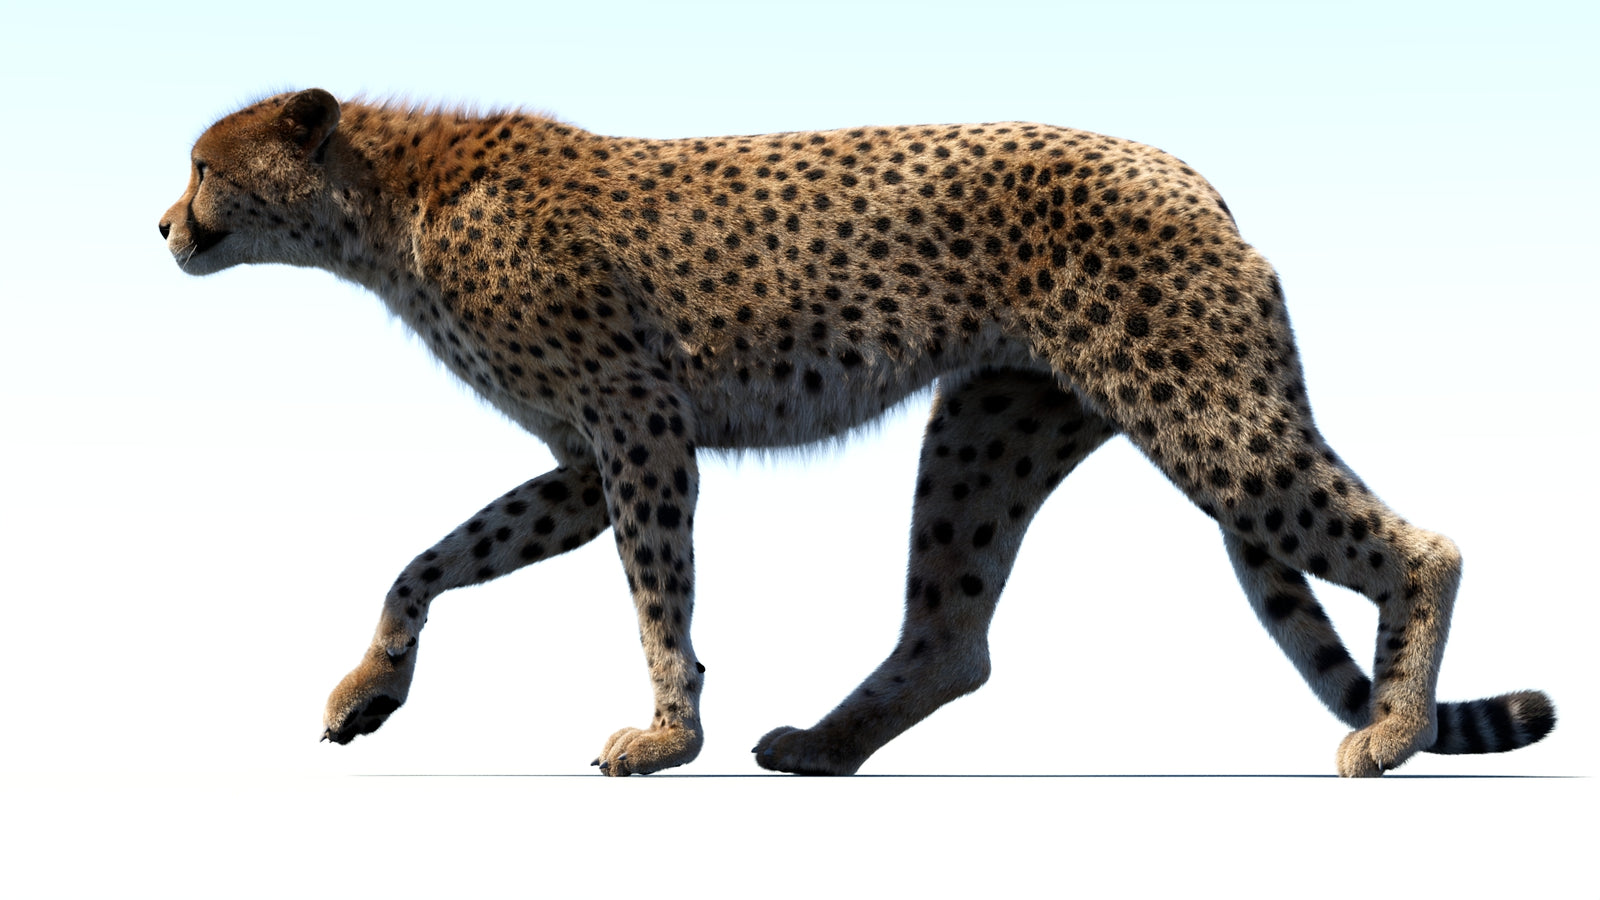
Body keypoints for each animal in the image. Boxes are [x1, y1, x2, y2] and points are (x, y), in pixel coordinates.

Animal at [159, 88, 1555, 777]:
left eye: (205, 167)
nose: (164, 225)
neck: (384, 202)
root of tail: (1185, 172)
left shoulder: (641, 427)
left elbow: (657, 593)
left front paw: (666, 736)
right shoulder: (582, 463)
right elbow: (428, 560)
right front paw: (368, 691)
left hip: (1200, 407)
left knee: (1420, 546)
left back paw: (1391, 731)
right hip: (990, 430)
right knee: (950, 638)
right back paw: (826, 746)